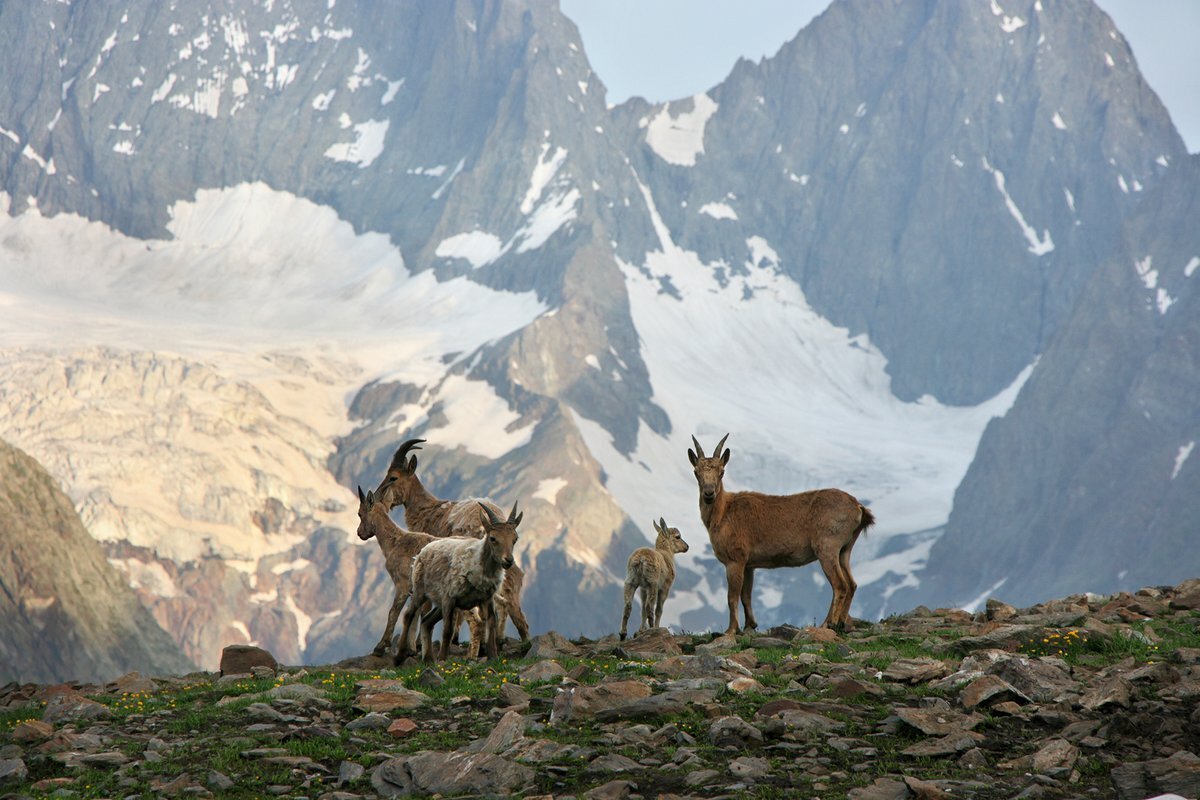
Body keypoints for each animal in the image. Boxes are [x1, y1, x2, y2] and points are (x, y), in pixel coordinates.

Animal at [691, 434, 878, 633]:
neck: (723, 513)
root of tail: (859, 508)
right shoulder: (749, 564)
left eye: (722, 471)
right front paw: (750, 625)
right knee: (852, 584)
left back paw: (828, 624)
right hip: (845, 549)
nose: (708, 493)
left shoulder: (735, 559)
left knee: (840, 585)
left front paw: (731, 630)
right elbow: (746, 596)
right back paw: (841, 623)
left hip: (828, 546)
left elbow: (732, 597)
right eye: (696, 472)